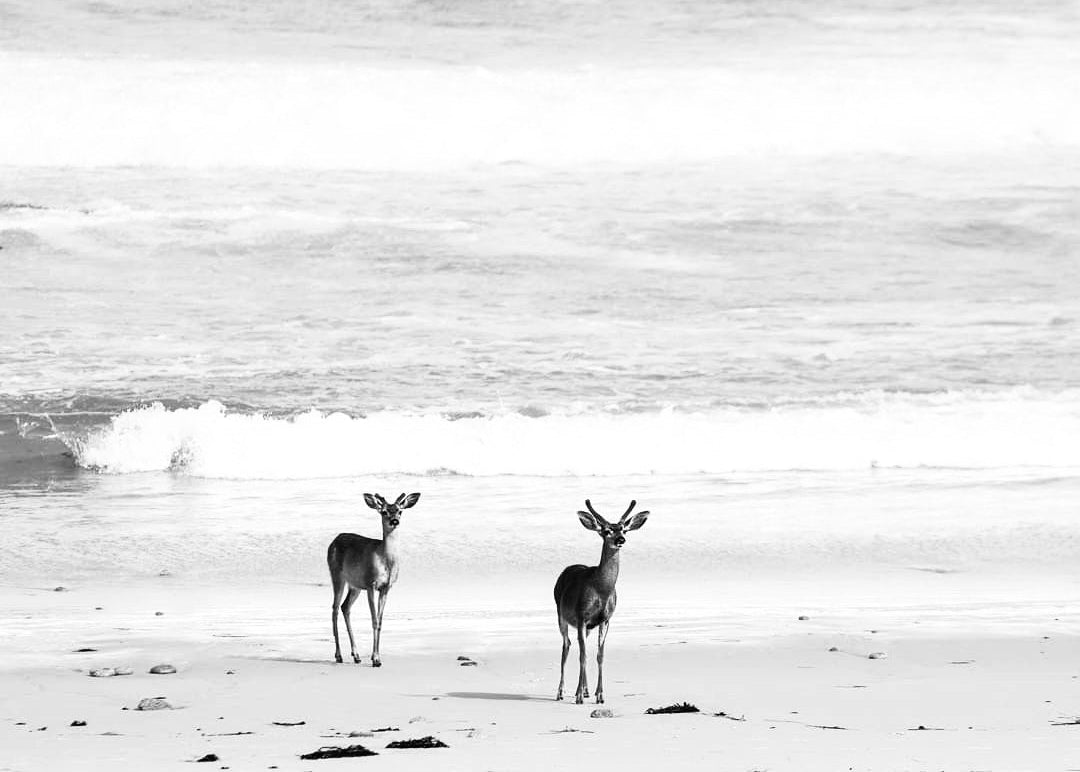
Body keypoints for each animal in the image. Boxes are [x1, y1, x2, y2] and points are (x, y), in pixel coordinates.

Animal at [327, 492, 420, 666]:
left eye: (400, 511)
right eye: (384, 512)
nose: (394, 521)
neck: (387, 562)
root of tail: (334, 540)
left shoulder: (386, 588)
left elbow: (380, 621)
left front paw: (374, 656)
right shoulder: (371, 583)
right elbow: (374, 620)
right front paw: (376, 659)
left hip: (355, 585)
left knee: (345, 607)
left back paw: (356, 655)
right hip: (336, 575)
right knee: (335, 608)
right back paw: (339, 655)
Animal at [554, 499, 650, 704]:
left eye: (624, 529)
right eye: (606, 531)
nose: (620, 540)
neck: (602, 589)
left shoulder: (605, 619)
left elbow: (599, 655)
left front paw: (599, 694)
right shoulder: (582, 615)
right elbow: (582, 656)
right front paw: (579, 696)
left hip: (587, 626)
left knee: (579, 647)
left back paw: (585, 690)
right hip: (561, 615)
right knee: (567, 646)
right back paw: (561, 692)